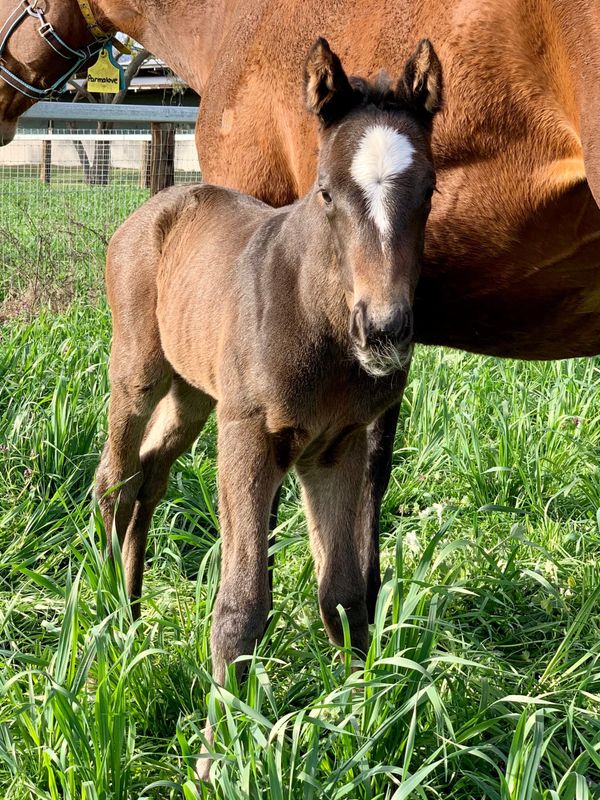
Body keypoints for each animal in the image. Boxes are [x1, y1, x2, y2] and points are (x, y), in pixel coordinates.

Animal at [95, 38, 442, 777]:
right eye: (327, 191)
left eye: (428, 190)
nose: (385, 330)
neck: (315, 309)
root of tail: (158, 206)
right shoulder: (250, 435)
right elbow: (242, 605)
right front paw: (215, 758)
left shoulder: (337, 445)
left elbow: (343, 595)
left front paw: (362, 731)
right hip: (139, 372)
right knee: (114, 480)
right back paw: (106, 621)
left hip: (196, 394)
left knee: (151, 474)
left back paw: (133, 616)